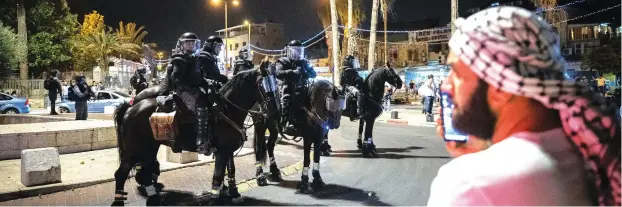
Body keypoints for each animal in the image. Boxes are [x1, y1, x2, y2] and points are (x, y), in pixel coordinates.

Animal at [112, 68, 278, 205]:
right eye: (263, 86)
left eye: (275, 83)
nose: (274, 112)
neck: (227, 110)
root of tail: (130, 107)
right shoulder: (223, 151)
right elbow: (218, 174)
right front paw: (215, 197)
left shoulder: (228, 150)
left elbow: (230, 170)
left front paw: (233, 192)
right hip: (134, 150)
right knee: (121, 174)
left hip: (150, 149)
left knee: (145, 173)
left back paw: (153, 198)